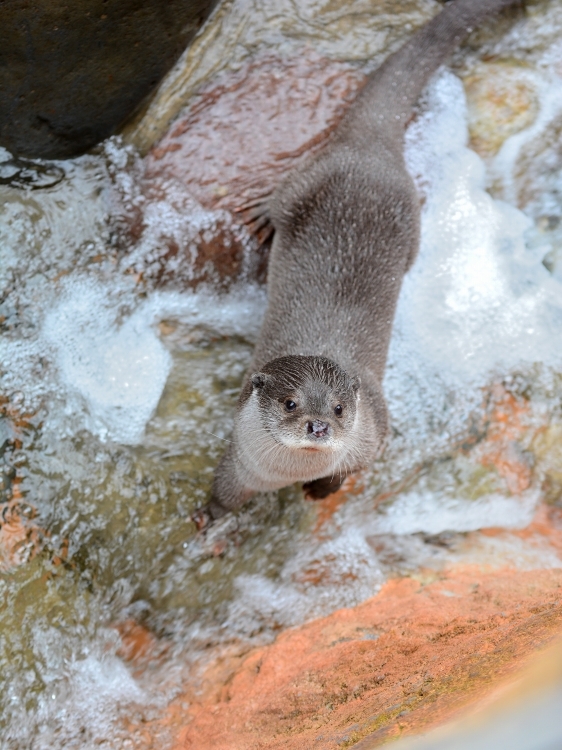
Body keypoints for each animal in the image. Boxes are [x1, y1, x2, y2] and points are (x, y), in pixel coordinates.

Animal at [191, 0, 516, 528]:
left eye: (341, 409)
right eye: (291, 403)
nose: (318, 425)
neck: (286, 473)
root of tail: (371, 148)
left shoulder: (374, 435)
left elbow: (349, 472)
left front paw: (321, 490)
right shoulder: (240, 458)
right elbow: (224, 491)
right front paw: (206, 519)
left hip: (396, 214)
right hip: (319, 182)